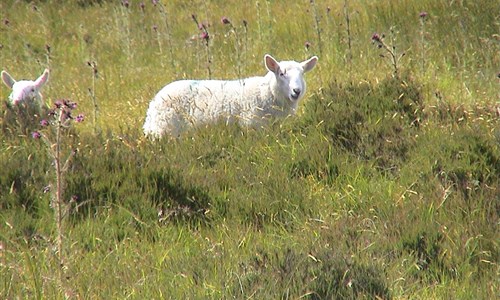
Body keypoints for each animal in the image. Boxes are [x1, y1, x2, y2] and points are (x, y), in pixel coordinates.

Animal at [143, 54, 318, 138]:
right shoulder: (252, 126)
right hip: (165, 129)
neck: (265, 93)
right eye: (281, 73)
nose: (297, 91)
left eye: (302, 74)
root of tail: (153, 104)